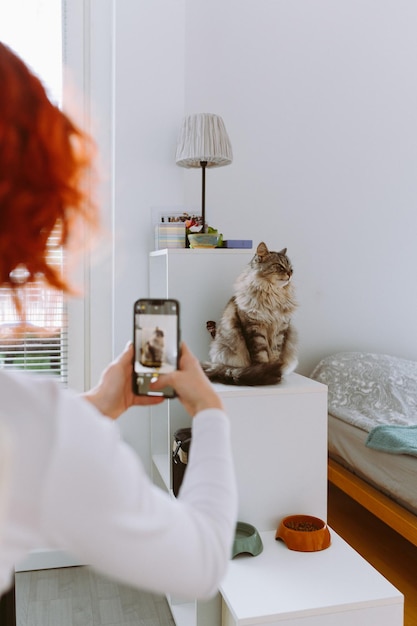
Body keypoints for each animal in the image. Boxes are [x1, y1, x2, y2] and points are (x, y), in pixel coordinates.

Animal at [202, 240, 296, 382]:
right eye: (280, 266)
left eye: (291, 268)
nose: (290, 274)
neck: (273, 296)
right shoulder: (255, 328)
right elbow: (261, 356)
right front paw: (268, 372)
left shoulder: (280, 330)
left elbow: (275, 353)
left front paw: (276, 371)